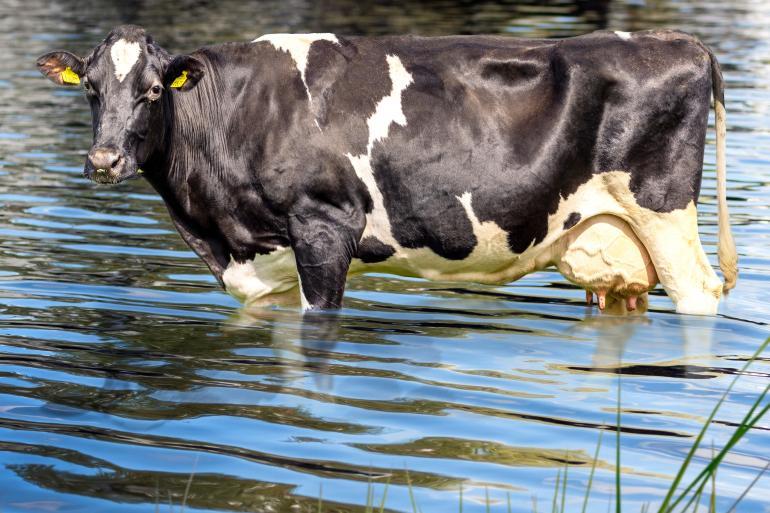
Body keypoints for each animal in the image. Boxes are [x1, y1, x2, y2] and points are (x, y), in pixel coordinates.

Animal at [39, 26, 736, 314]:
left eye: (155, 90)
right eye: (91, 89)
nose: (103, 160)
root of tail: (678, 41)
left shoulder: (324, 230)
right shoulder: (266, 263)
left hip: (665, 215)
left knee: (699, 295)